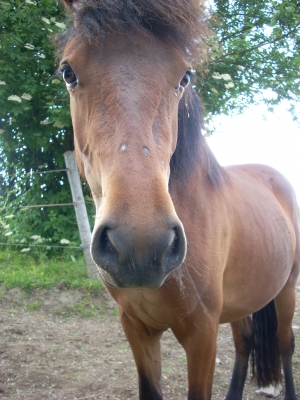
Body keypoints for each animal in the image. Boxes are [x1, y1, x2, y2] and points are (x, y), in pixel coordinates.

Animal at [57, 1, 298, 398]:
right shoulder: (137, 329)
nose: (140, 245)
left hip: (287, 288)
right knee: (246, 341)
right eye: (68, 72)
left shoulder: (202, 334)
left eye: (184, 77)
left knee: (283, 344)